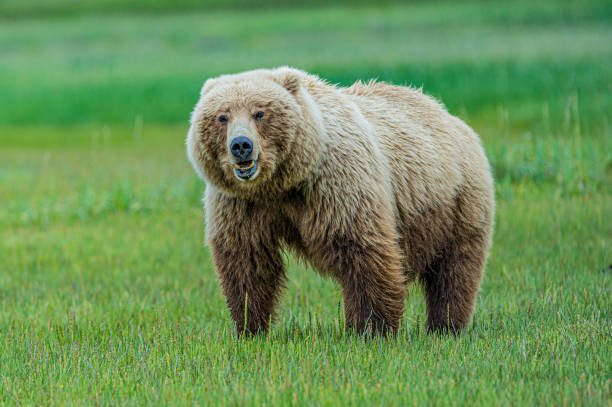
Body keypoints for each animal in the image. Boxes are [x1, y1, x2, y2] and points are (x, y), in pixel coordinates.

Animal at [184, 66, 494, 334]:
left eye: (259, 112)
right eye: (222, 116)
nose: (241, 145)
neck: (283, 183)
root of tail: (451, 117)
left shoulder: (336, 184)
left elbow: (362, 251)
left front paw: (373, 328)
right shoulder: (241, 205)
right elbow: (247, 261)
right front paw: (249, 326)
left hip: (456, 202)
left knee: (455, 270)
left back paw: (446, 326)